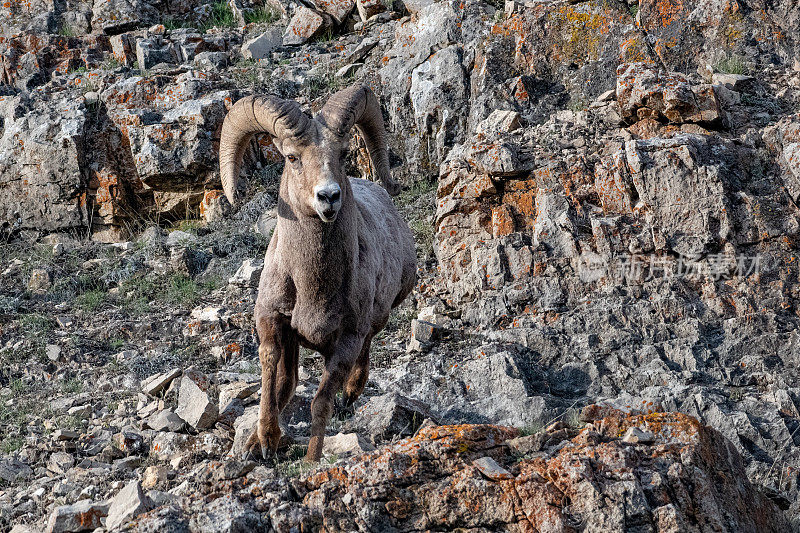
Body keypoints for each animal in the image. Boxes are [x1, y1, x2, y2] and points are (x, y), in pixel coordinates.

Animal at [219, 85, 418, 460]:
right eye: (292, 157)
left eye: (343, 153)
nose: (328, 197)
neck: (313, 287)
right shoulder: (271, 322)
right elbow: (272, 377)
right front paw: (265, 441)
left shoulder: (346, 343)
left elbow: (321, 403)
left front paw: (312, 460)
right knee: (288, 383)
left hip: (374, 322)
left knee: (365, 350)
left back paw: (352, 393)